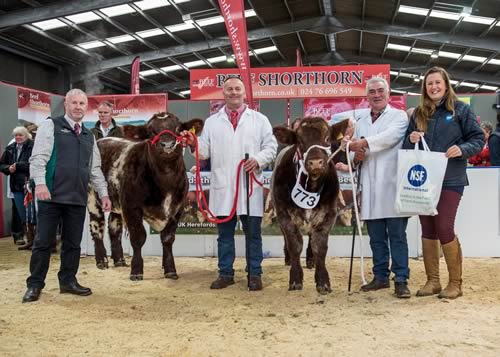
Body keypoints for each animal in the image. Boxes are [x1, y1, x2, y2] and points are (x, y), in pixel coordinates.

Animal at [88, 112, 203, 280]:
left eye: (177, 128)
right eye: (151, 131)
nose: (168, 144)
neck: (166, 180)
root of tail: (102, 140)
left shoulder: (177, 209)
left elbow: (168, 239)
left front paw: (170, 270)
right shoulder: (132, 207)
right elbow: (138, 238)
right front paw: (136, 271)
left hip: (117, 202)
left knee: (114, 228)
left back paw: (119, 260)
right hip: (92, 198)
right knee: (97, 227)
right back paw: (102, 261)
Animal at [272, 116, 350, 292]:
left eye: (327, 139)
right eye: (300, 141)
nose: (315, 163)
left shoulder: (328, 214)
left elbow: (319, 246)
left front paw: (323, 281)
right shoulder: (284, 214)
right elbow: (294, 244)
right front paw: (295, 279)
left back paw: (310, 260)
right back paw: (288, 257)